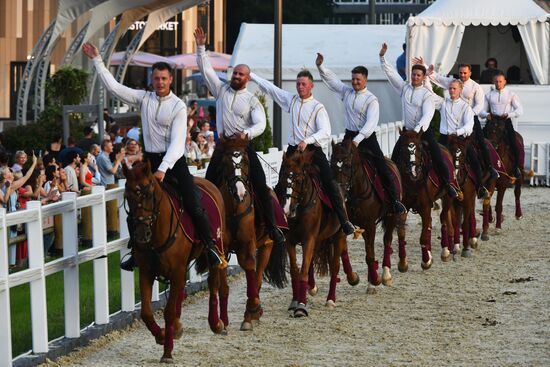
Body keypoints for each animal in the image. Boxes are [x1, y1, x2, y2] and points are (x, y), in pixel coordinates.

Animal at [124, 162, 230, 364]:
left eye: (148, 194)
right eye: (127, 197)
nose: (141, 234)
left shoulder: (177, 271)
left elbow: (169, 311)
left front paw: (167, 352)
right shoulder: (146, 272)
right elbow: (146, 312)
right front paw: (161, 335)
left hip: (217, 248)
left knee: (214, 283)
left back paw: (217, 323)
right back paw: (179, 326)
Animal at [213, 137, 288, 332]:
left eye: (246, 161)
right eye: (225, 162)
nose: (239, 192)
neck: (233, 209)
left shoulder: (247, 246)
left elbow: (249, 271)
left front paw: (250, 314)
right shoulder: (222, 250)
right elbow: (223, 287)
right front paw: (223, 321)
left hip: (267, 245)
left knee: (258, 278)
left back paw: (255, 312)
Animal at [280, 148, 358, 318]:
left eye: (298, 179)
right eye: (283, 178)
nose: (287, 210)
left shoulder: (309, 239)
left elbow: (303, 270)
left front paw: (301, 306)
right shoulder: (290, 241)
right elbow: (296, 271)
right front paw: (295, 301)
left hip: (338, 236)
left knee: (335, 266)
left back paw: (331, 299)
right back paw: (313, 287)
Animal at [330, 139, 408, 292]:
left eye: (347, 165)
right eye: (331, 164)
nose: (338, 191)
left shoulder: (370, 224)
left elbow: (370, 255)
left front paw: (375, 280)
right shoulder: (345, 226)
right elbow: (344, 252)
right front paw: (353, 278)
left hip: (391, 216)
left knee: (387, 240)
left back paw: (385, 275)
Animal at [394, 131, 460, 268]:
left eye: (419, 148)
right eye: (403, 149)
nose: (413, 171)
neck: (413, 182)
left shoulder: (425, 206)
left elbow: (423, 237)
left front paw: (425, 262)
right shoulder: (404, 207)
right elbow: (401, 233)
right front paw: (403, 263)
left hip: (447, 197)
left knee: (443, 217)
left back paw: (445, 251)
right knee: (430, 222)